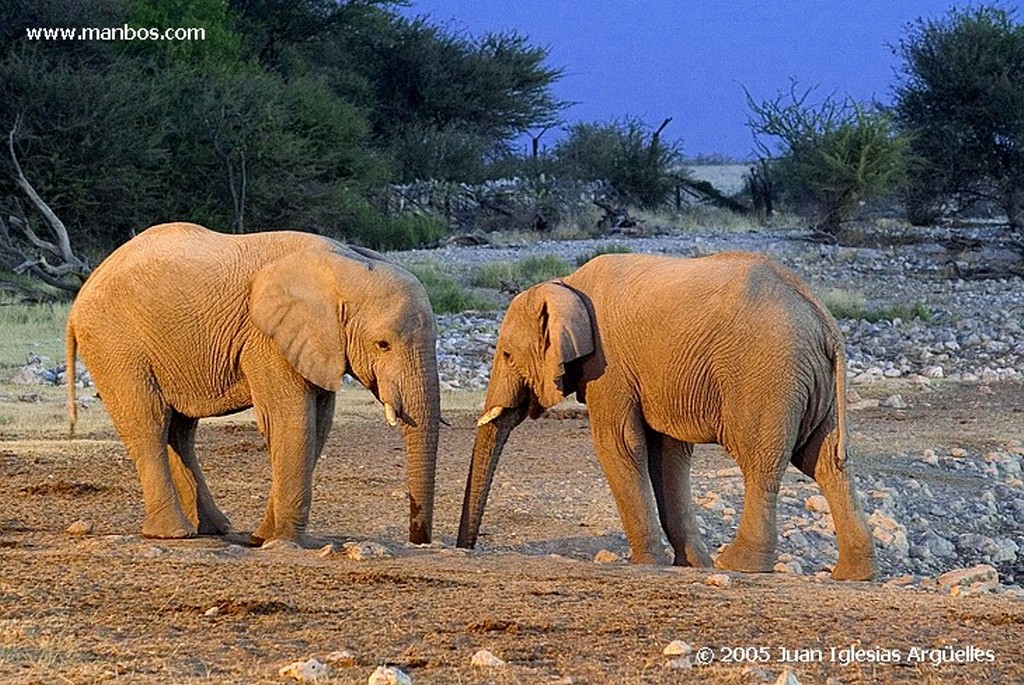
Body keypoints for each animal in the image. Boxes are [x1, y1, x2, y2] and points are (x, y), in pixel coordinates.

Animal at [64, 222, 440, 548]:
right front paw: (284, 542)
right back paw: (173, 534)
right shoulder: (266, 340)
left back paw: (214, 529)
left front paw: (262, 539)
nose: (418, 540)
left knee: (180, 431)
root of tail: (83, 291)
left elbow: (318, 426)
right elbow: (292, 422)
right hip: (115, 345)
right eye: (383, 344)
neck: (346, 263)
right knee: (150, 423)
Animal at [460, 253, 876, 581]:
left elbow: (619, 444)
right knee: (826, 462)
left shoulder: (609, 369)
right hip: (813, 382)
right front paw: (691, 564)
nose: (467, 549)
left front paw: (644, 563)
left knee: (762, 462)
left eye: (507, 356)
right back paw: (853, 574)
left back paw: (738, 565)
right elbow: (668, 456)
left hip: (767, 375)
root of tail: (825, 321)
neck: (567, 284)